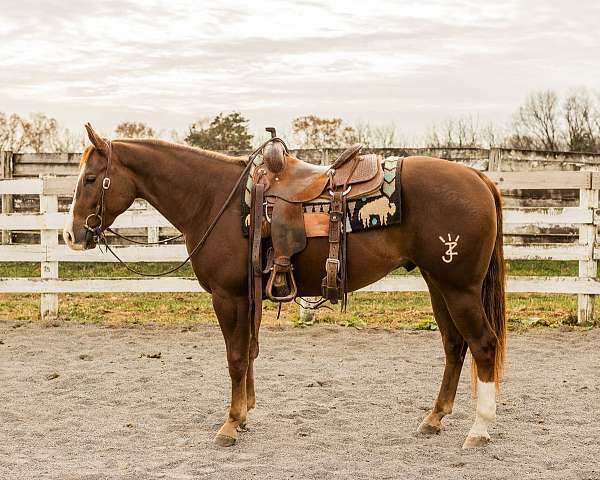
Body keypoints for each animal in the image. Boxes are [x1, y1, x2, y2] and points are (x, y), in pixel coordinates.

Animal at [64, 124, 506, 450]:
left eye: (91, 178)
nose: (72, 235)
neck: (214, 199)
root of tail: (479, 177)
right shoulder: (247, 297)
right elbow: (250, 353)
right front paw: (245, 415)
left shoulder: (228, 297)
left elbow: (236, 357)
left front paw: (230, 424)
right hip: (438, 283)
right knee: (454, 345)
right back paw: (434, 418)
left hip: (459, 287)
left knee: (483, 344)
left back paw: (479, 430)